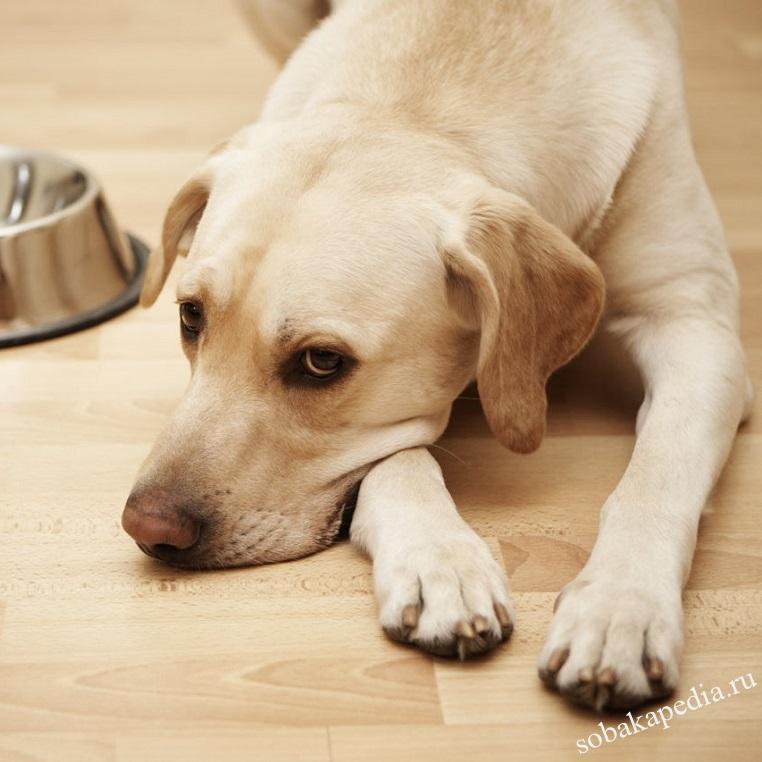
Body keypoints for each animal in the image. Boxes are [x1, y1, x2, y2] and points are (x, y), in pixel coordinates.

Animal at [121, 1, 752, 712]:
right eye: (190, 316)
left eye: (321, 362)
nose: (147, 527)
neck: (420, 104)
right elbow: (399, 460)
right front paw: (440, 563)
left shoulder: (695, 324)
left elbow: (657, 473)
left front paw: (620, 608)